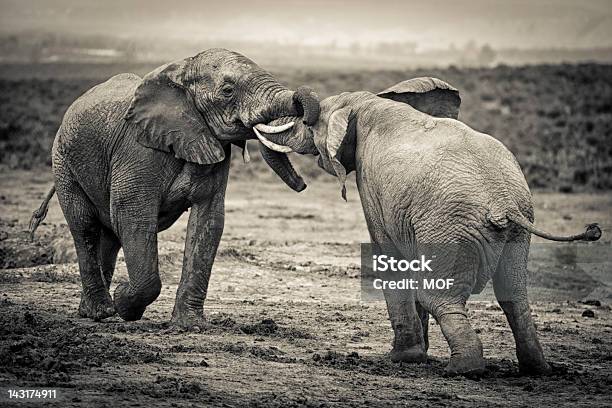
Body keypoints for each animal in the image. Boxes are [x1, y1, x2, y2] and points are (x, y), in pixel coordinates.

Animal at [29, 48, 320, 328]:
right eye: (227, 90)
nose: (303, 185)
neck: (181, 72)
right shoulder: (138, 150)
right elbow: (132, 216)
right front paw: (125, 302)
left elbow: (209, 221)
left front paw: (191, 325)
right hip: (63, 162)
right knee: (85, 226)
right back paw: (102, 310)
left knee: (109, 234)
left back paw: (94, 311)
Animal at [251, 77, 600, 376]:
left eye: (308, 125)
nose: (302, 184)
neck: (366, 102)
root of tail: (502, 201)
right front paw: (418, 355)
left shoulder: (371, 185)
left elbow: (389, 256)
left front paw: (404, 358)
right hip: (516, 228)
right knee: (513, 295)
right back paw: (537, 369)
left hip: (450, 226)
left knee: (440, 296)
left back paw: (463, 370)